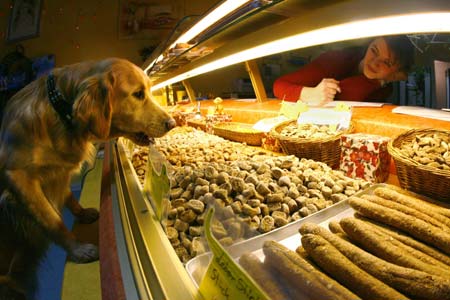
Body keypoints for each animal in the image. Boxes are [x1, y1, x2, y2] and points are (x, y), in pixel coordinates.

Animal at [0, 56, 175, 298]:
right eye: (138, 94)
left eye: (149, 90)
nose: (172, 123)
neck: (59, 109)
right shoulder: (19, 179)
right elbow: (52, 220)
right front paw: (78, 249)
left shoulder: (59, 173)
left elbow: (68, 196)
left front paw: (82, 213)